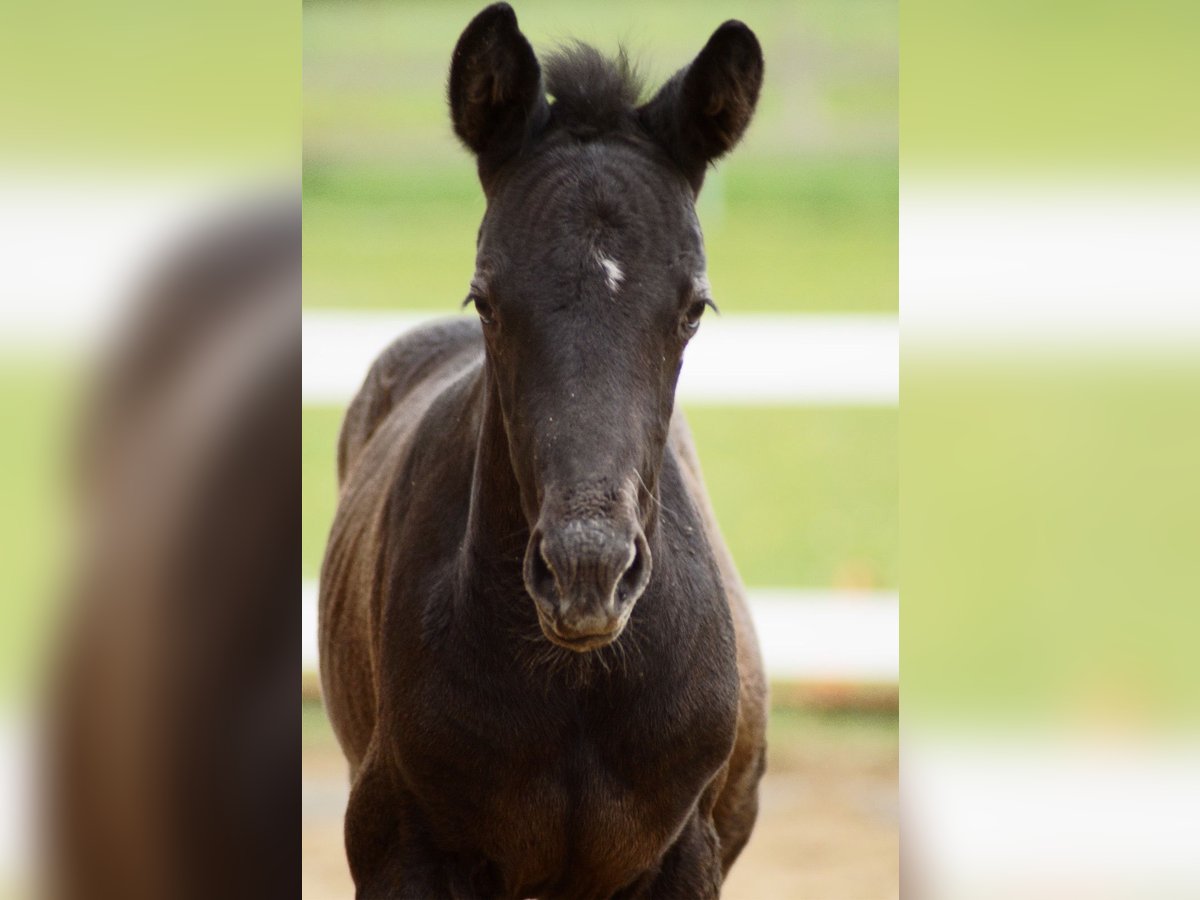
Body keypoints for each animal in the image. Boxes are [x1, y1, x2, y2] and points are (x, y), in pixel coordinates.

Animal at [319, 5, 763, 897]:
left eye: (694, 308)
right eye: (485, 299)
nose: (587, 573)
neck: (574, 691)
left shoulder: (687, 855)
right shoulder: (397, 851)